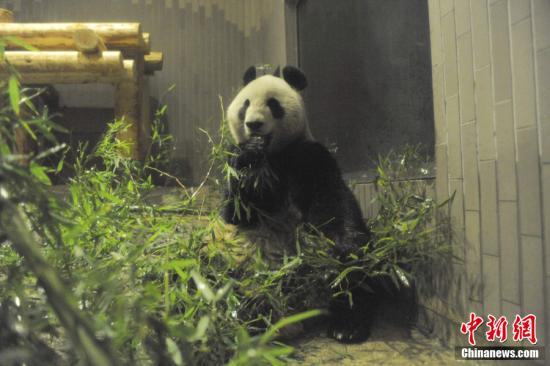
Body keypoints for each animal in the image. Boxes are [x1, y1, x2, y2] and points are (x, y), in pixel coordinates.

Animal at [223, 65, 376, 344]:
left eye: (273, 104)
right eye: (245, 104)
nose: (253, 124)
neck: (273, 154)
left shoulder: (308, 156)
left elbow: (332, 203)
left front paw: (342, 250)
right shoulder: (234, 160)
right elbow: (238, 212)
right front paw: (249, 159)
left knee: (354, 282)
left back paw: (346, 325)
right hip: (240, 271)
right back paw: (252, 322)